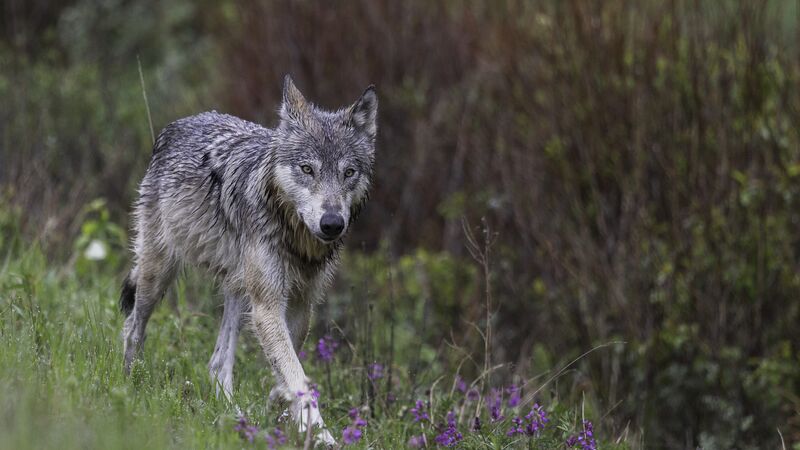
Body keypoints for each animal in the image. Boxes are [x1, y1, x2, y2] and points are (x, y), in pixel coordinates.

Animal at [119, 75, 378, 444]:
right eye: (307, 169)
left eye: (349, 172)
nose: (332, 223)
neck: (295, 237)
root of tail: (179, 123)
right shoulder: (268, 305)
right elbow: (298, 376)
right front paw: (322, 436)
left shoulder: (300, 305)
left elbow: (289, 372)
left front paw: (279, 409)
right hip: (159, 276)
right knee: (132, 328)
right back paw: (129, 385)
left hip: (240, 294)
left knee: (217, 365)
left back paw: (235, 418)